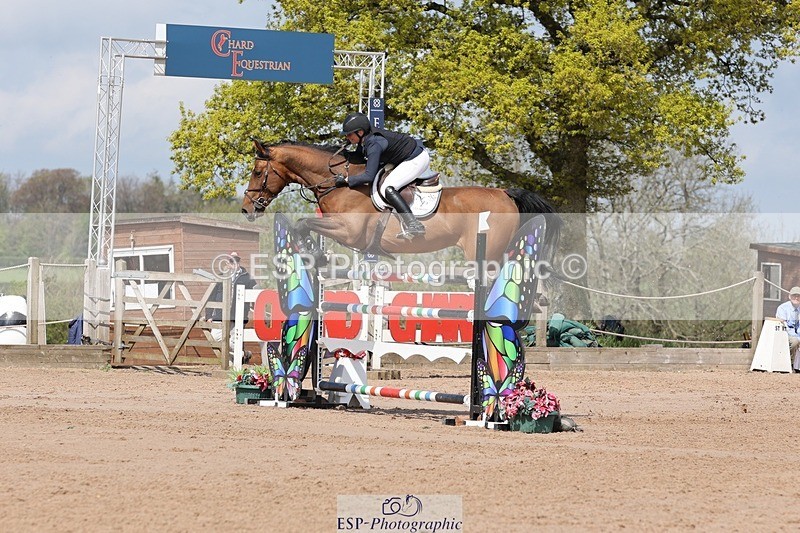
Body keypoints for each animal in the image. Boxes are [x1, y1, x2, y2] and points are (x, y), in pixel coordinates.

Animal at [241, 139, 560, 263]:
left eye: (257, 172)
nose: (246, 209)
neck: (338, 182)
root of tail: (505, 193)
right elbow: (303, 225)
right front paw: (317, 254)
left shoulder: (349, 231)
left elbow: (302, 223)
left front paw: (316, 254)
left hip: (485, 252)